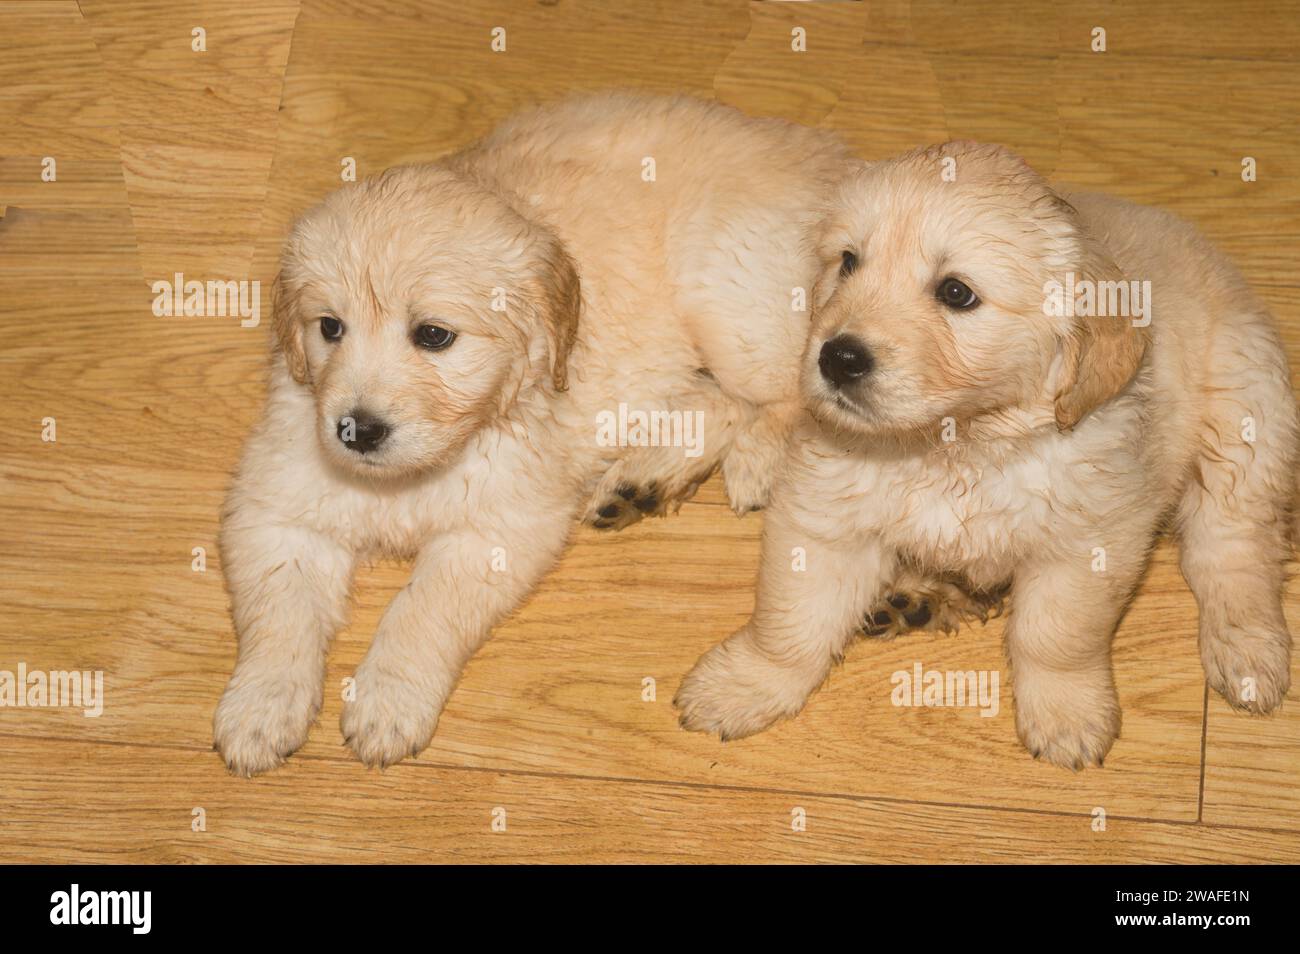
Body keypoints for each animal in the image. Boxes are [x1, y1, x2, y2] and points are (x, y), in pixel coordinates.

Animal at [217, 91, 857, 779]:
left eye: (434, 335)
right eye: (329, 328)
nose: (356, 431)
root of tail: (830, 158)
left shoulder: (496, 530)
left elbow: (422, 610)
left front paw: (389, 699)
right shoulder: (278, 509)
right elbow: (278, 615)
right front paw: (260, 705)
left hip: (730, 303)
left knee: (790, 389)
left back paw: (754, 462)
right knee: (720, 401)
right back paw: (645, 480)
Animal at [676, 143, 1294, 769]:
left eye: (956, 293)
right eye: (848, 262)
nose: (837, 358)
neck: (956, 445)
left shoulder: (1087, 543)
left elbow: (1055, 638)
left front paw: (1067, 713)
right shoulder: (824, 518)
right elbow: (790, 622)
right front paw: (745, 684)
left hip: (1246, 420)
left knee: (1233, 549)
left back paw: (1246, 649)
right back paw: (917, 597)